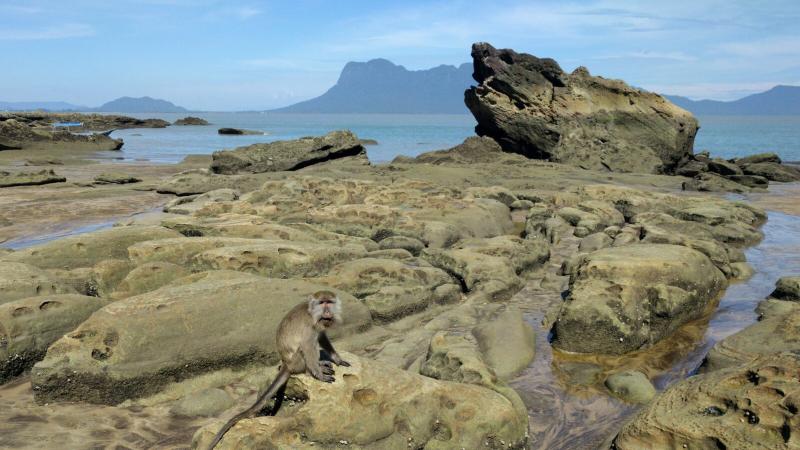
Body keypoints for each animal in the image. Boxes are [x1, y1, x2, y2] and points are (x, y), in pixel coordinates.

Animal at [207, 290, 350, 450]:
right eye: (322, 303)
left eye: (329, 302)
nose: (327, 311)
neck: (312, 313)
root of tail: (286, 364)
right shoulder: (309, 326)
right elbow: (307, 345)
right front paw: (318, 374)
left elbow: (322, 336)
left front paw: (337, 359)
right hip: (297, 362)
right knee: (306, 348)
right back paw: (312, 369)